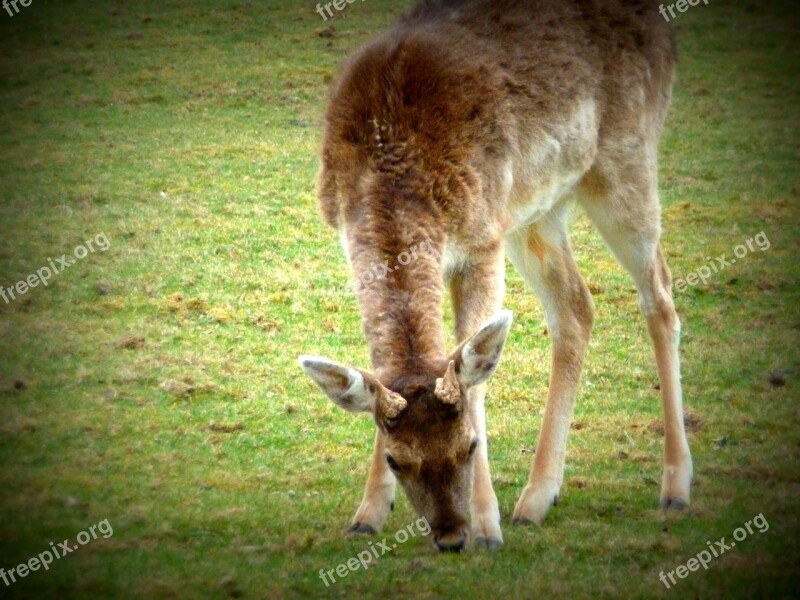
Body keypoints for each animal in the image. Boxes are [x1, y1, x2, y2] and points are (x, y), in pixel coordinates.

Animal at [296, 0, 692, 552]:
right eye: (397, 459)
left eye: (470, 444)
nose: (450, 536)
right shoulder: (351, 246)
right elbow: (384, 371)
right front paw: (366, 515)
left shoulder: (481, 242)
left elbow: (473, 374)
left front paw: (487, 527)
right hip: (534, 211)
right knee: (576, 306)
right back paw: (536, 500)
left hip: (625, 158)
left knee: (660, 294)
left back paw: (675, 488)